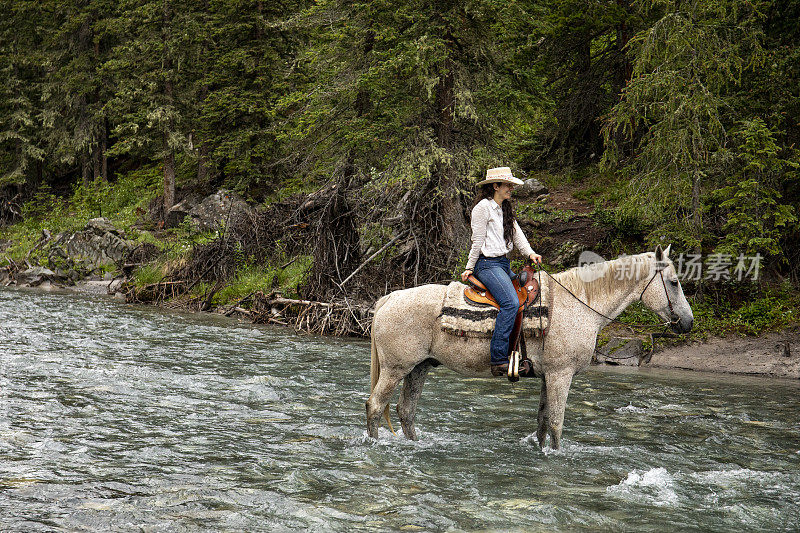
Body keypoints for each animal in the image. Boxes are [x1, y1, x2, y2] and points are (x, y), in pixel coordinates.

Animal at [368, 247, 692, 446]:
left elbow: (542, 423)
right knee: (375, 405)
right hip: (395, 368)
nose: (688, 322)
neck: (579, 304)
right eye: (674, 282)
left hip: (419, 367)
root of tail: (389, 297)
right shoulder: (561, 374)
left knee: (406, 411)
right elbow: (557, 424)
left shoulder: (549, 375)